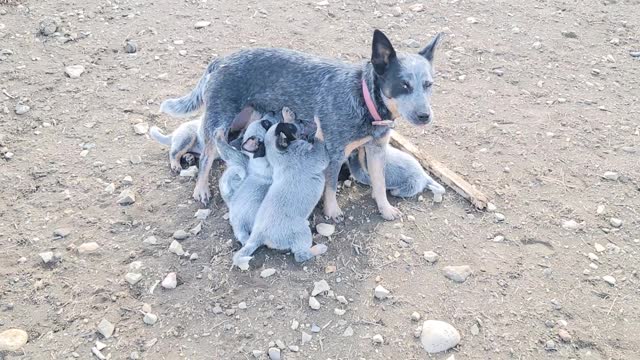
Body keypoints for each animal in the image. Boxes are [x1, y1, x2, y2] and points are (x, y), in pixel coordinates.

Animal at [160, 29, 442, 221]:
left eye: (428, 85)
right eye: (403, 85)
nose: (425, 115)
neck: (364, 99)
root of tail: (219, 60)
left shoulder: (377, 148)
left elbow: (380, 182)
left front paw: (384, 208)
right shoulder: (334, 150)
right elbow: (330, 186)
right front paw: (332, 210)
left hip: (246, 117)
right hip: (220, 118)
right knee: (207, 154)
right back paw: (201, 188)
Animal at [232, 114, 328, 268]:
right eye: (291, 127)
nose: (297, 119)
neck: (281, 156)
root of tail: (259, 234)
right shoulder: (318, 157)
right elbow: (319, 139)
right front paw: (318, 122)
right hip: (302, 233)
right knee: (301, 255)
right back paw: (319, 248)